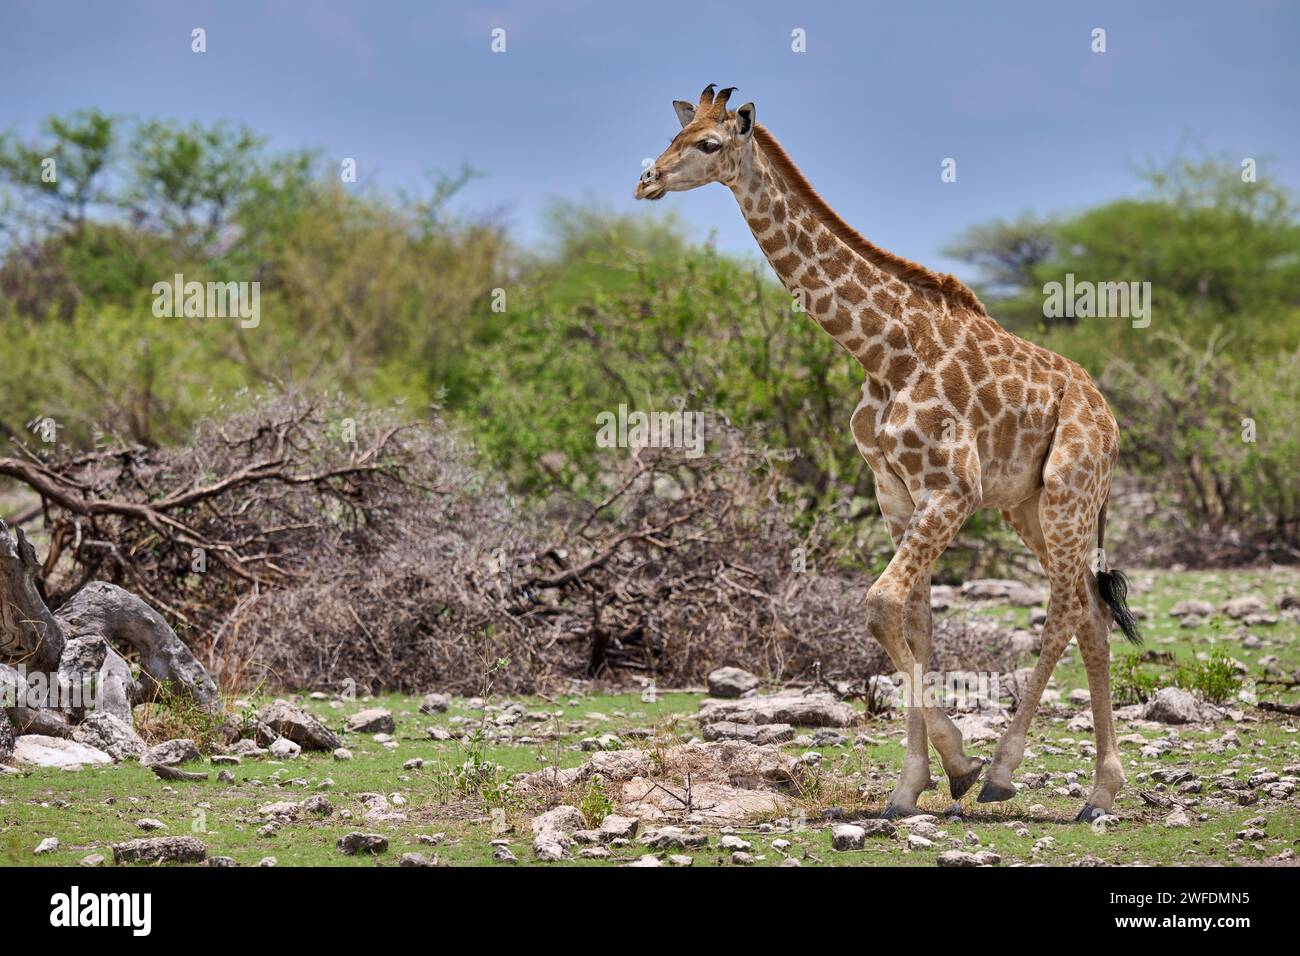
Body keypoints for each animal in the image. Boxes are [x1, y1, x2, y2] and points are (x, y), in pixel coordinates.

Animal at [634, 85, 1144, 827]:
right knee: (1093, 614)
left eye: (707, 143)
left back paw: (1008, 774)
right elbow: (913, 624)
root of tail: (1108, 415)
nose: (646, 179)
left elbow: (878, 605)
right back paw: (1099, 792)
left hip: (1068, 495)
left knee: (1064, 612)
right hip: (1028, 506)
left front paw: (961, 766)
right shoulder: (897, 496)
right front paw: (909, 789)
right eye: (676, 133)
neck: (881, 352)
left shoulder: (952, 491)